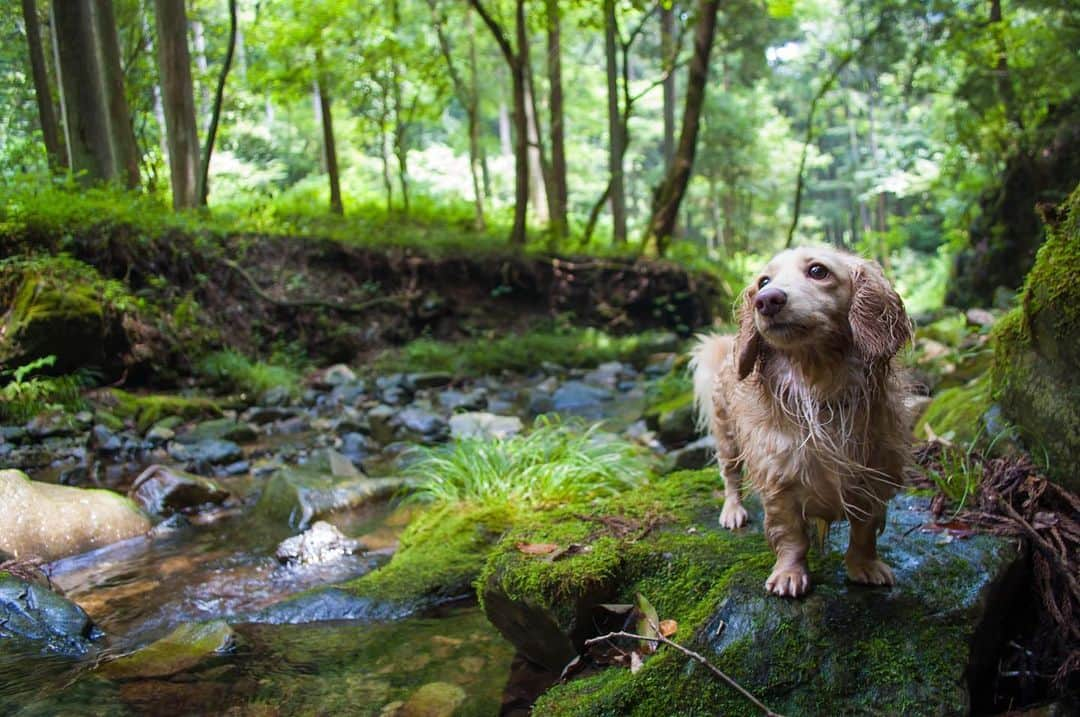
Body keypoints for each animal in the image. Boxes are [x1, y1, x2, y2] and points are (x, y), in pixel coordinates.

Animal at [691, 249, 911, 596]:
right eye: (763, 281)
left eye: (818, 271)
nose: (766, 300)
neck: (819, 385)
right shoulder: (779, 481)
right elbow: (791, 535)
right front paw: (789, 573)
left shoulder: (874, 478)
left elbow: (863, 532)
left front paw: (864, 565)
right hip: (727, 438)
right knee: (730, 476)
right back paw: (733, 511)